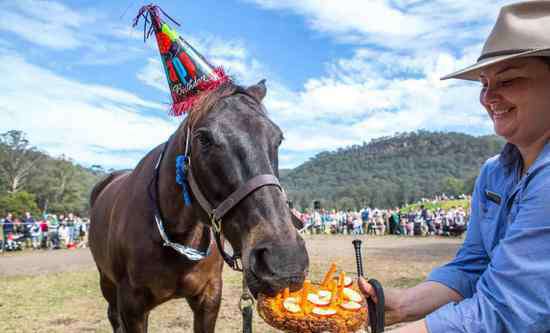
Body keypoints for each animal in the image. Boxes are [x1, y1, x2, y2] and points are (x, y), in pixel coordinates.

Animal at [88, 81, 308, 332]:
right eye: (203, 139)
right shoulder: (131, 306)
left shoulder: (209, 297)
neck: (176, 238)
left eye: (278, 138)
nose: (285, 261)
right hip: (106, 281)